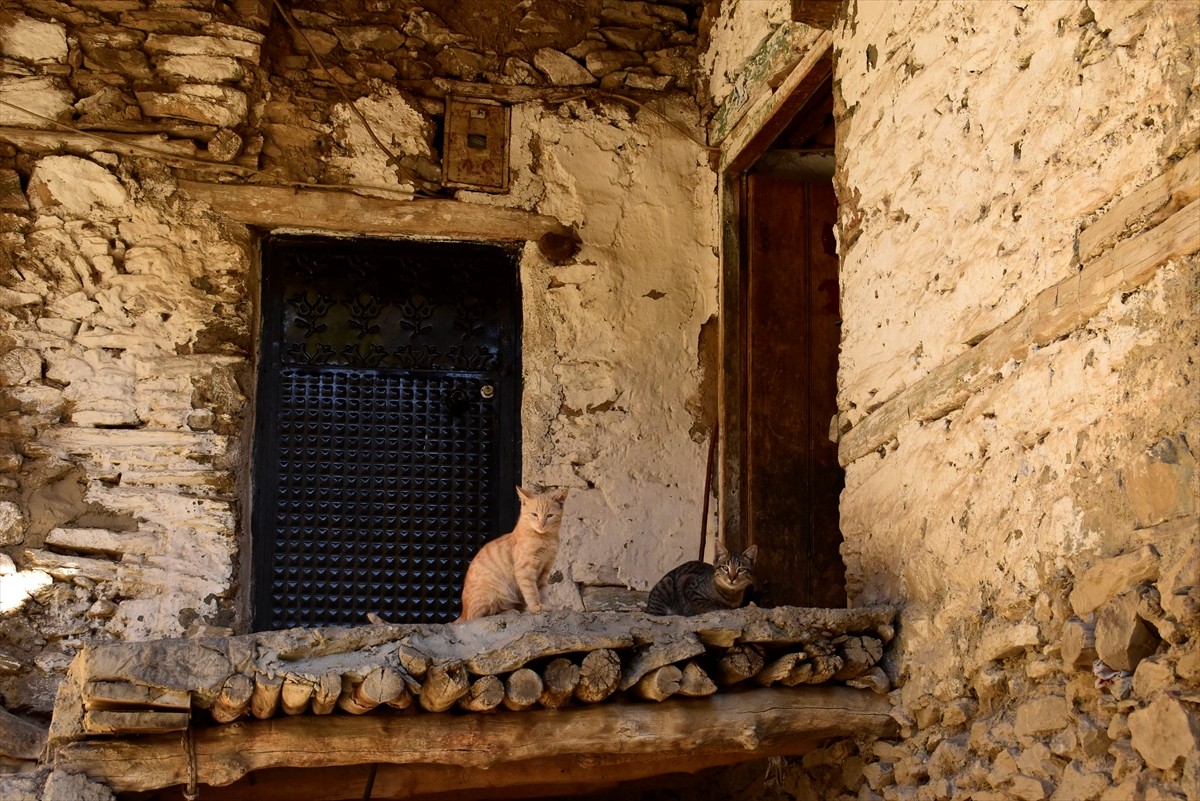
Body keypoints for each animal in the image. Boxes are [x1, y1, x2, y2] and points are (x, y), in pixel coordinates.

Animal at [458, 484, 571, 623]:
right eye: (534, 514)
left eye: (549, 515)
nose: (541, 525)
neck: (545, 539)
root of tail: (464, 612)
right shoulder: (524, 569)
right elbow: (531, 591)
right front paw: (535, 607)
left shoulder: (545, 570)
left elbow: (543, 591)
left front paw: (545, 605)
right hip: (493, 593)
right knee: (483, 615)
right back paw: (510, 612)